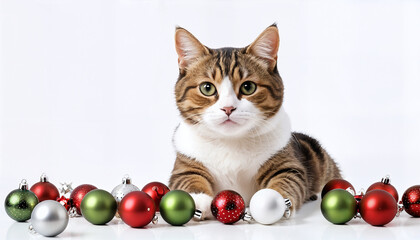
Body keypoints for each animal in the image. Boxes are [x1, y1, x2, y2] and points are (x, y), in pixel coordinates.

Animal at [168, 24, 342, 219]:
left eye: (248, 87)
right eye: (207, 88)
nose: (228, 108)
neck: (231, 142)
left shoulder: (287, 164)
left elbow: (287, 179)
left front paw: (273, 200)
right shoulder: (184, 165)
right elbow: (188, 177)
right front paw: (198, 199)